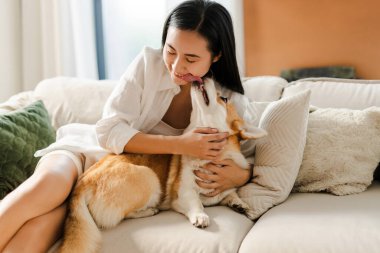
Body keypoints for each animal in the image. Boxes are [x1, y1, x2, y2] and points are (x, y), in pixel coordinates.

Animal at [59, 78, 268, 252]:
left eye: (223, 98)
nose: (205, 76)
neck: (211, 157)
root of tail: (82, 184)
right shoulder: (183, 193)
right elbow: (196, 202)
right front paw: (200, 216)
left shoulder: (225, 186)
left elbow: (230, 194)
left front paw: (241, 205)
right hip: (149, 178)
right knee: (118, 217)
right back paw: (150, 210)